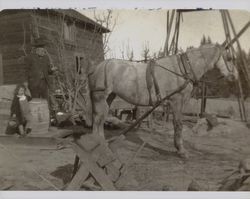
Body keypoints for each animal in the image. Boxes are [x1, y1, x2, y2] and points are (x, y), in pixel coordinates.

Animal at [88, 43, 236, 157]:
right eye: (229, 58)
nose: (235, 76)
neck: (183, 69)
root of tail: (98, 66)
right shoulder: (177, 101)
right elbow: (178, 124)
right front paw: (181, 150)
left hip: (108, 98)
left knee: (100, 120)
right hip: (99, 97)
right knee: (98, 120)